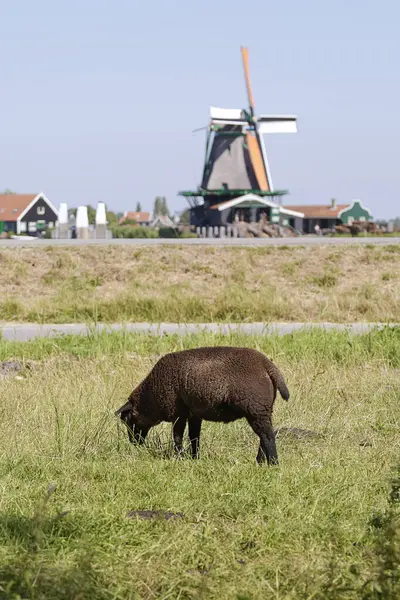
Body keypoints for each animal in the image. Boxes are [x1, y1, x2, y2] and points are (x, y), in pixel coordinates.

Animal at [114, 346, 290, 464]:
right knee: (264, 436)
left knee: (267, 436)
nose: (134, 443)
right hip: (263, 410)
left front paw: (179, 457)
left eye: (127, 419)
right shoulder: (194, 414)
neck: (150, 398)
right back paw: (260, 462)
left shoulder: (178, 413)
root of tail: (268, 366)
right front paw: (194, 458)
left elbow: (177, 436)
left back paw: (273, 463)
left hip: (255, 408)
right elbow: (194, 437)